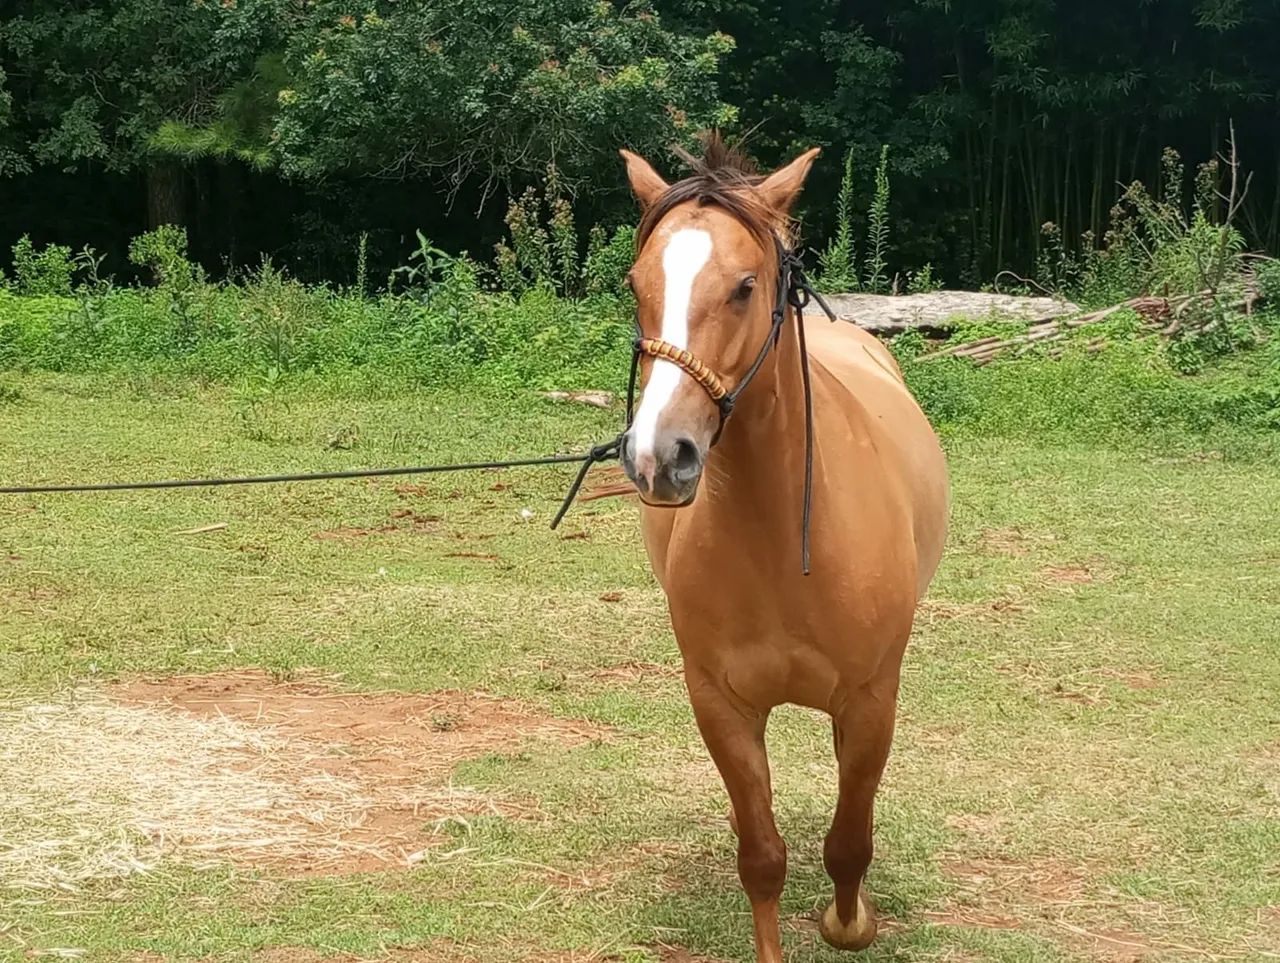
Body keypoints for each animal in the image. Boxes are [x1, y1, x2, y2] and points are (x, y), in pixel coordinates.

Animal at [613, 136, 949, 961]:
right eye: (637, 284)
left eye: (742, 286)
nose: (659, 456)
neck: (781, 544)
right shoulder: (720, 703)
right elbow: (762, 857)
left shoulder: (870, 702)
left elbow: (849, 843)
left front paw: (847, 922)